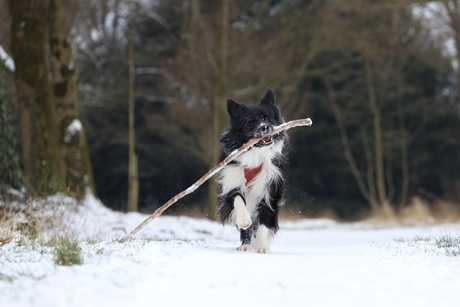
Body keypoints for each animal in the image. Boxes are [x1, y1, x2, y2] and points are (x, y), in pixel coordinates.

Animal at [217, 88, 286, 254]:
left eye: (267, 118)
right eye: (250, 122)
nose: (265, 127)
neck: (256, 154)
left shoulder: (270, 189)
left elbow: (264, 222)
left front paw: (262, 247)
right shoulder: (231, 180)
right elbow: (238, 200)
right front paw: (244, 220)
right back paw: (246, 245)